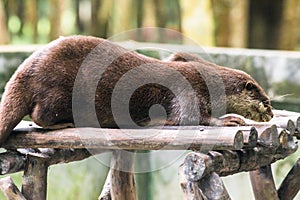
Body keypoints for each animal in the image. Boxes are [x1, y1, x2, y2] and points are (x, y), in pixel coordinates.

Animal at [0, 35, 274, 144]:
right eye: (267, 102)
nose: (271, 114)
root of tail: (25, 70)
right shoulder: (187, 90)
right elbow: (188, 117)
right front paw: (230, 120)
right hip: (57, 92)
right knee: (39, 115)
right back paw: (63, 123)